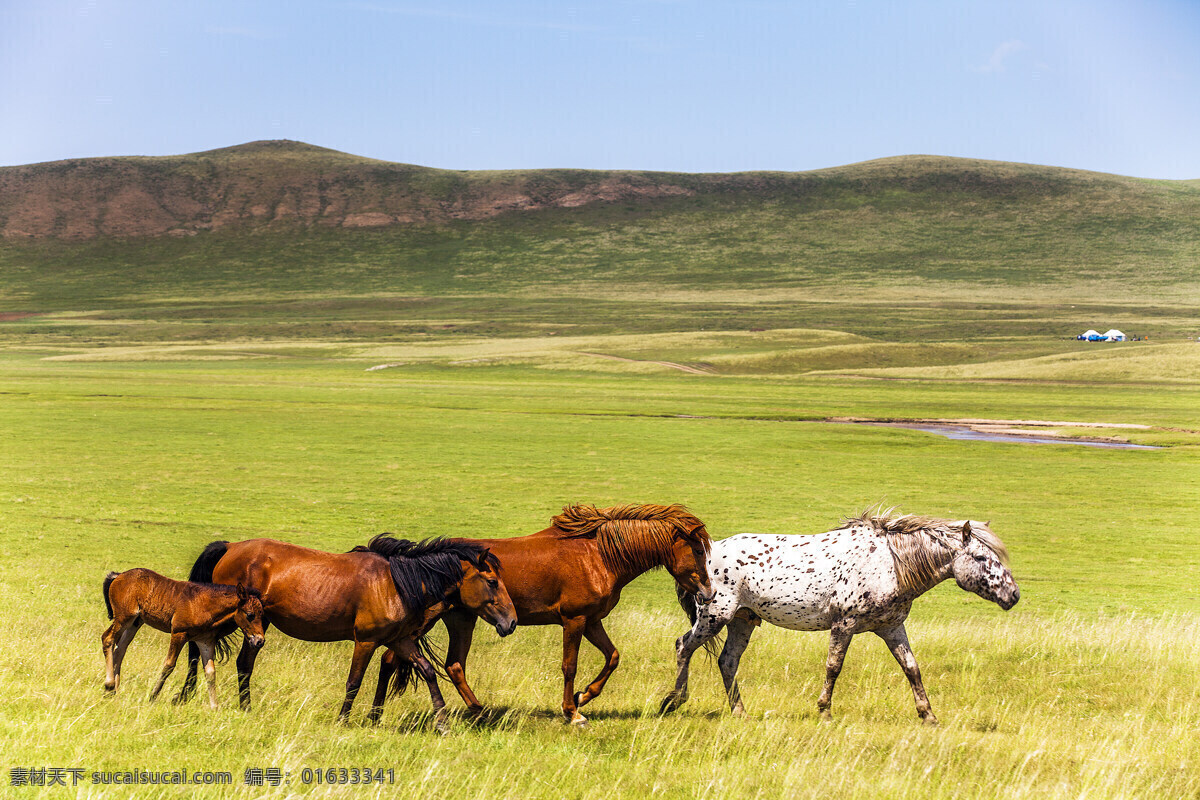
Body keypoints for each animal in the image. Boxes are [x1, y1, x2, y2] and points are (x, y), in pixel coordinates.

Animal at [101, 568, 266, 709]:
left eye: (262, 614)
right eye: (250, 614)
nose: (259, 640)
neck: (203, 605)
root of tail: (119, 575)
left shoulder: (205, 641)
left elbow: (210, 672)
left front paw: (215, 708)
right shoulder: (178, 634)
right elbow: (169, 665)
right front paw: (153, 696)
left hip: (135, 623)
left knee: (120, 649)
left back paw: (114, 691)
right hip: (124, 618)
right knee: (107, 639)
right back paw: (109, 684)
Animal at [179, 535, 517, 732]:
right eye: (491, 581)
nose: (511, 622)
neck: (396, 583)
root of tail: (230, 547)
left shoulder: (400, 640)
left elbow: (428, 671)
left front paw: (443, 722)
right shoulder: (365, 641)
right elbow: (354, 682)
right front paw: (343, 721)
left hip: (255, 626)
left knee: (243, 664)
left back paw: (245, 708)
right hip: (231, 619)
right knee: (196, 649)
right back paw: (183, 696)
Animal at [374, 503, 714, 725]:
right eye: (698, 551)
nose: (708, 593)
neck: (598, 555)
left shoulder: (592, 621)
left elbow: (613, 657)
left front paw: (583, 697)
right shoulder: (574, 620)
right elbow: (569, 666)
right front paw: (572, 712)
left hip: (460, 620)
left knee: (446, 664)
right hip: (428, 621)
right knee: (402, 659)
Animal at [660, 509, 1019, 724]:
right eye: (980, 558)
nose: (1013, 595)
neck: (889, 563)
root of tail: (705, 554)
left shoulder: (892, 628)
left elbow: (912, 669)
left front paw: (928, 715)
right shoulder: (843, 625)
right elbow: (834, 667)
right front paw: (824, 711)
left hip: (742, 620)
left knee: (727, 661)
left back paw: (740, 712)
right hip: (714, 616)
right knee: (683, 647)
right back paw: (673, 701)